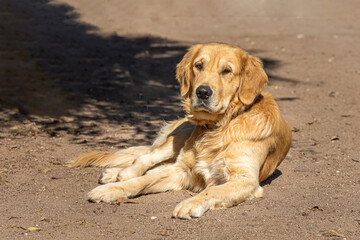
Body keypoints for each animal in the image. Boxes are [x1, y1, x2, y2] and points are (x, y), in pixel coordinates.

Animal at [68, 43, 292, 219]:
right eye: (198, 66)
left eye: (227, 71)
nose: (202, 92)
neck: (218, 128)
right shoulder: (181, 170)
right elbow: (143, 180)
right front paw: (111, 190)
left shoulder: (245, 180)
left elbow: (212, 192)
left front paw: (190, 204)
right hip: (176, 139)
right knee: (145, 158)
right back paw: (121, 174)